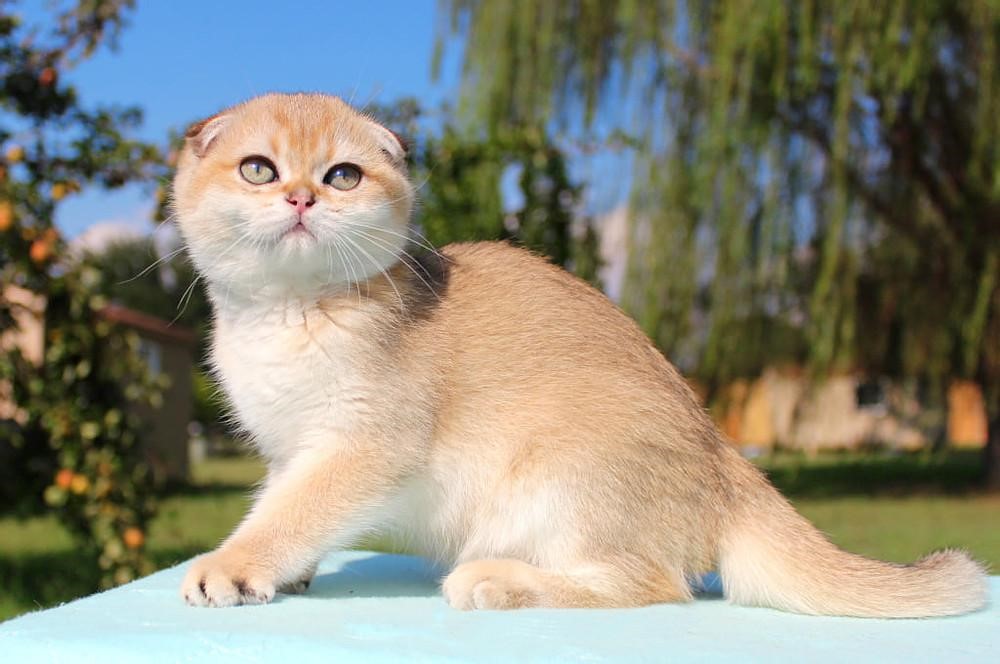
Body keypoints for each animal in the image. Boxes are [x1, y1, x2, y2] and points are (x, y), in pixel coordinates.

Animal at [172, 93, 984, 616]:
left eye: (342, 175)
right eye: (258, 169)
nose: (302, 198)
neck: (288, 313)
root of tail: (728, 463)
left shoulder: (363, 446)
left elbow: (291, 514)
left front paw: (233, 567)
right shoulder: (290, 452)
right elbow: (284, 505)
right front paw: (286, 573)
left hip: (563, 472)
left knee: (655, 584)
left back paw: (498, 582)